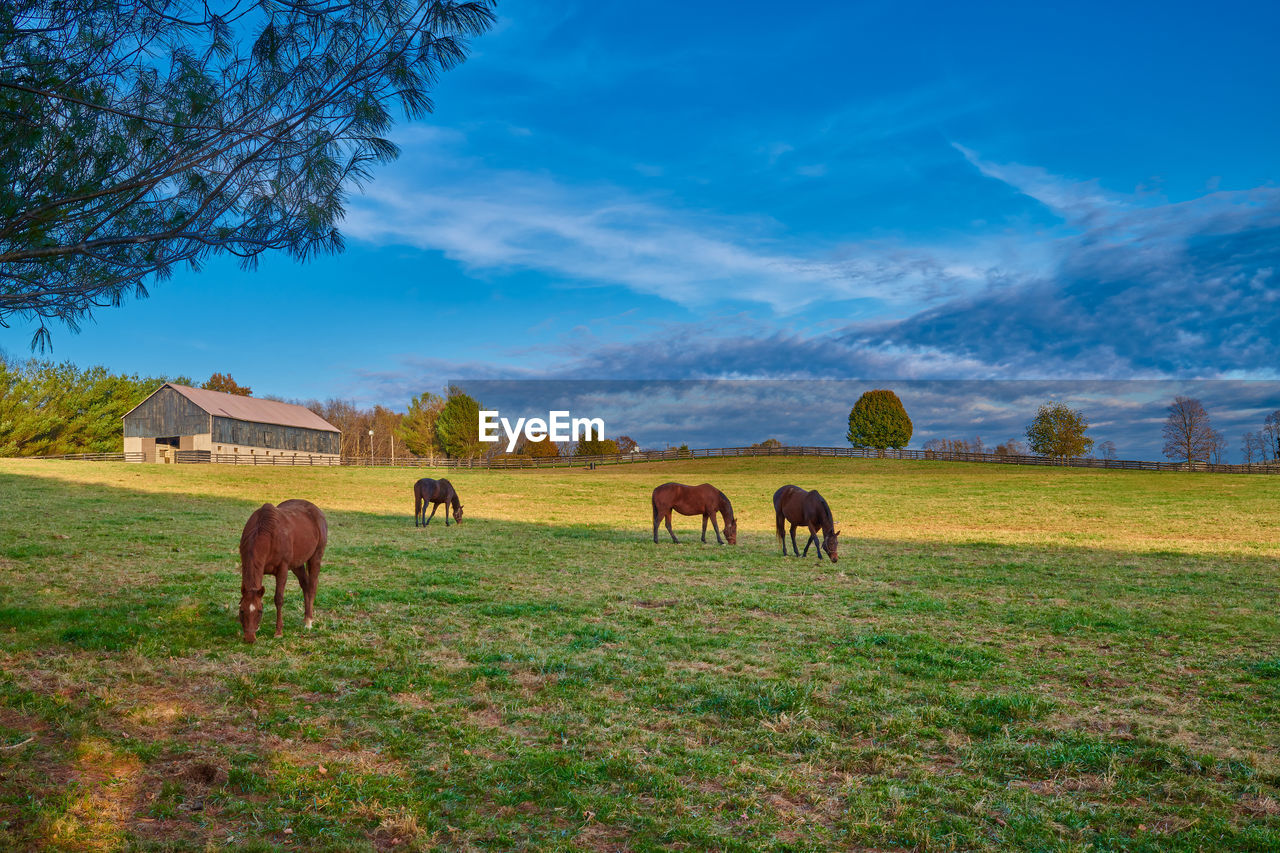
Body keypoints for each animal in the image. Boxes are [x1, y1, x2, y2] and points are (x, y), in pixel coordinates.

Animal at [236, 494, 327, 640]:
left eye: (260, 611)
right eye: (242, 610)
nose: (250, 638)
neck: (268, 535)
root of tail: (316, 511)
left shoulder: (282, 569)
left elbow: (278, 599)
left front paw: (278, 632)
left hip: (315, 557)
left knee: (312, 586)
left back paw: (309, 621)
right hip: (297, 564)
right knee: (305, 584)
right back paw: (305, 617)